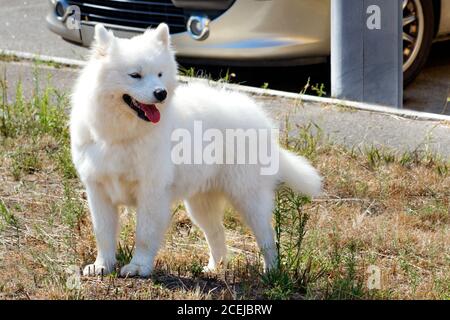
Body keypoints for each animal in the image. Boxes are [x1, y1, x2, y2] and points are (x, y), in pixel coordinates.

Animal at [70, 23, 322, 278]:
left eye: (160, 74)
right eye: (135, 75)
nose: (161, 93)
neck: (121, 136)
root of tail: (260, 119)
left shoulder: (151, 193)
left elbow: (145, 235)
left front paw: (138, 267)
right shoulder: (98, 190)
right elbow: (103, 233)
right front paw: (102, 266)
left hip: (248, 198)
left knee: (267, 237)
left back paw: (271, 272)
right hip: (201, 203)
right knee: (217, 234)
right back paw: (214, 269)